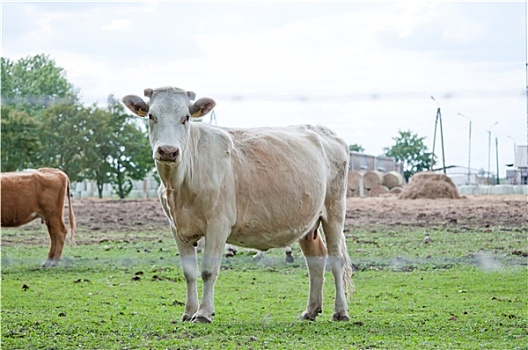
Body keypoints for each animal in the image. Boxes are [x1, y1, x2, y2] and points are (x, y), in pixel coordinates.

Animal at [124, 87, 352, 322]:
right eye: (151, 116)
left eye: (185, 117)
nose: (168, 151)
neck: (179, 184)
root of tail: (322, 130)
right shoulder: (177, 228)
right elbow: (189, 273)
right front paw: (188, 312)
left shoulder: (218, 224)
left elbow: (208, 270)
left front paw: (203, 313)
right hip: (307, 222)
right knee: (316, 259)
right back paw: (311, 310)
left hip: (334, 212)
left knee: (336, 259)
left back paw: (340, 311)